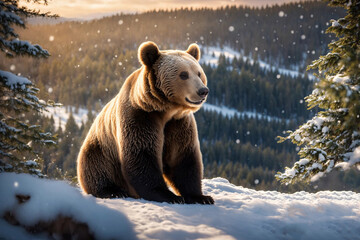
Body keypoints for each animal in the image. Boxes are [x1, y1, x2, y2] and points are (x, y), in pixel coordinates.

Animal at [76, 41, 214, 204]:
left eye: (199, 73)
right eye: (183, 74)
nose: (203, 91)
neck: (166, 111)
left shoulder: (179, 124)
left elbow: (183, 158)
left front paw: (202, 197)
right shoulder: (141, 117)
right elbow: (142, 155)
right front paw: (169, 196)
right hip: (100, 148)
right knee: (97, 168)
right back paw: (113, 191)